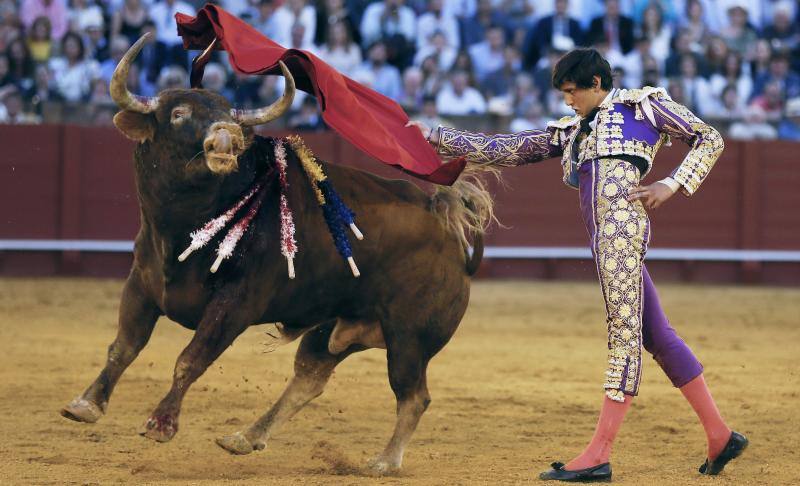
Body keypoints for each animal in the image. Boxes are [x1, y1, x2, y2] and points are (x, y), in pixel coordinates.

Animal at [62, 35, 496, 474]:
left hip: (409, 335)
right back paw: (245, 437)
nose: (226, 134)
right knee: (311, 375)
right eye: (179, 113)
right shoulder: (141, 283)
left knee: (412, 395)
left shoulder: (236, 304)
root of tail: (447, 223)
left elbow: (191, 358)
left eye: (228, 114)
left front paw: (160, 424)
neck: (182, 225)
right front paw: (85, 404)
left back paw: (384, 462)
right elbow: (125, 345)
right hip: (338, 324)